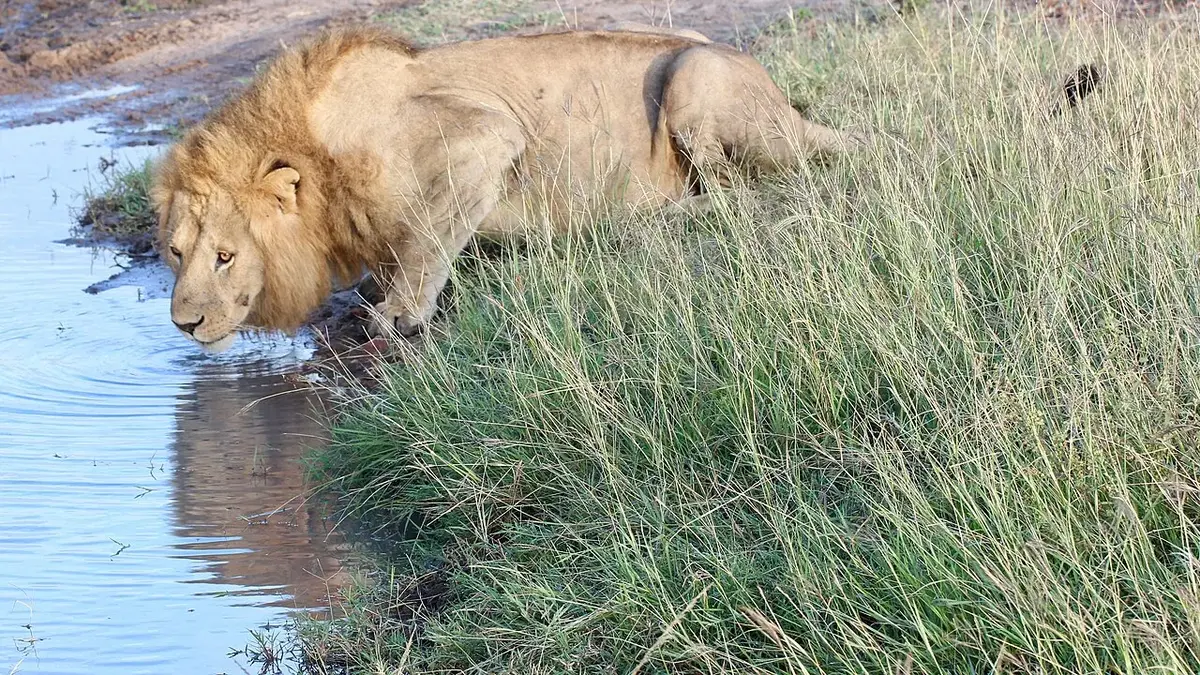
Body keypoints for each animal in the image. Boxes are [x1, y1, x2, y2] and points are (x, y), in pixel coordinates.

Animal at [153, 25, 860, 351]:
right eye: (176, 252)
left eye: (226, 256)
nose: (185, 325)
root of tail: (788, 104)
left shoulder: (485, 138)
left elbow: (428, 239)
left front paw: (398, 314)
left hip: (694, 77)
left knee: (740, 194)